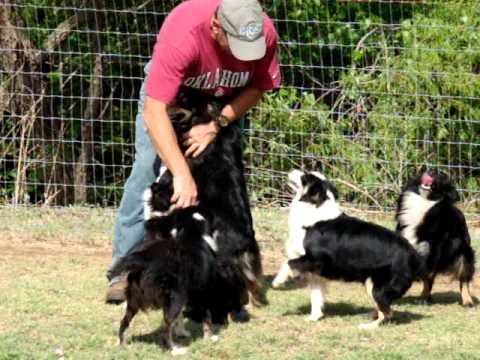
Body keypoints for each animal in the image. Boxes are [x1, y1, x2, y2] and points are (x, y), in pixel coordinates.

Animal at [109, 174, 248, 354]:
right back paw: (175, 349)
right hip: (175, 297)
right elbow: (206, 317)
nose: (154, 183)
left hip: (136, 300)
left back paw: (122, 344)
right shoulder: (202, 291)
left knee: (124, 322)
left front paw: (184, 331)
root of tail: (143, 261)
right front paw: (211, 337)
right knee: (165, 329)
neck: (192, 235)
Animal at [274, 171, 424, 330]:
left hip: (377, 288)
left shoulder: (315, 260)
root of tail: (414, 254)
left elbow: (288, 262)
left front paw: (278, 281)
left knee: (387, 313)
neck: (315, 207)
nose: (291, 170)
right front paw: (314, 317)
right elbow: (316, 296)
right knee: (384, 310)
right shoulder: (315, 272)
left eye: (304, 177)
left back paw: (367, 326)